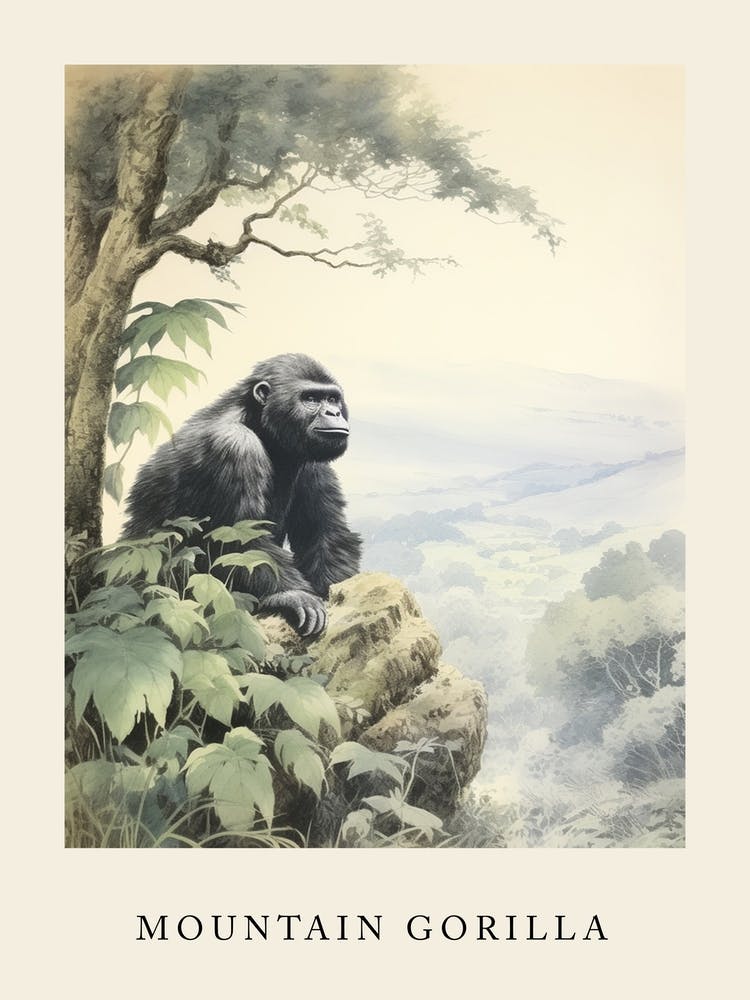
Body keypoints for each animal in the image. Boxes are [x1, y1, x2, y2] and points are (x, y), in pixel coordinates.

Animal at [122, 353, 362, 637]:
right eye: (311, 398)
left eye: (333, 399)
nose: (333, 412)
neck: (258, 424)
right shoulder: (233, 446)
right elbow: (241, 540)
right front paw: (291, 594)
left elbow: (326, 536)